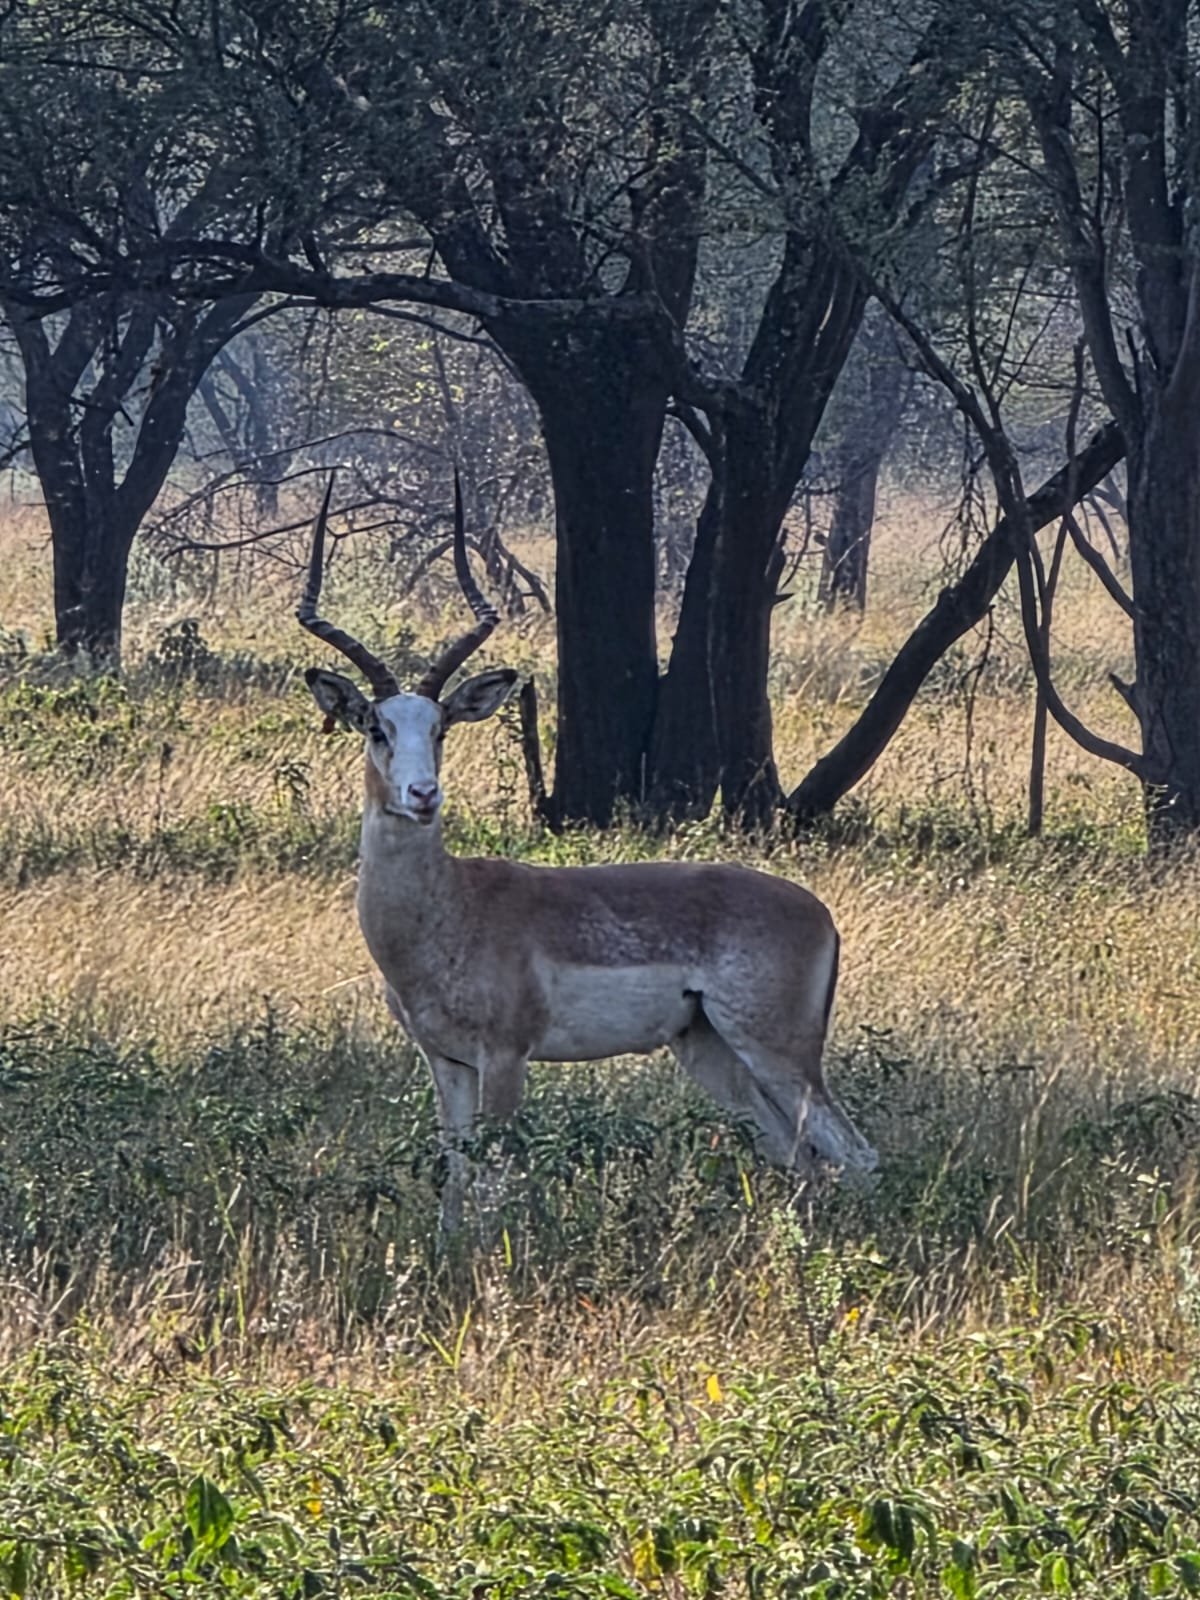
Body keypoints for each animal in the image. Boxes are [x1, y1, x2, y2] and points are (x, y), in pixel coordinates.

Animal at [299, 478, 878, 1235]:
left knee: (855, 1155)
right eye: (376, 727)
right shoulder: (446, 1061)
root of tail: (822, 916)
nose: (423, 794)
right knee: (796, 1153)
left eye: (442, 727)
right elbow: (455, 1180)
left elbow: (492, 1182)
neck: (450, 911)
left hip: (777, 1049)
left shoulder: (506, 1057)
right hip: (709, 1049)